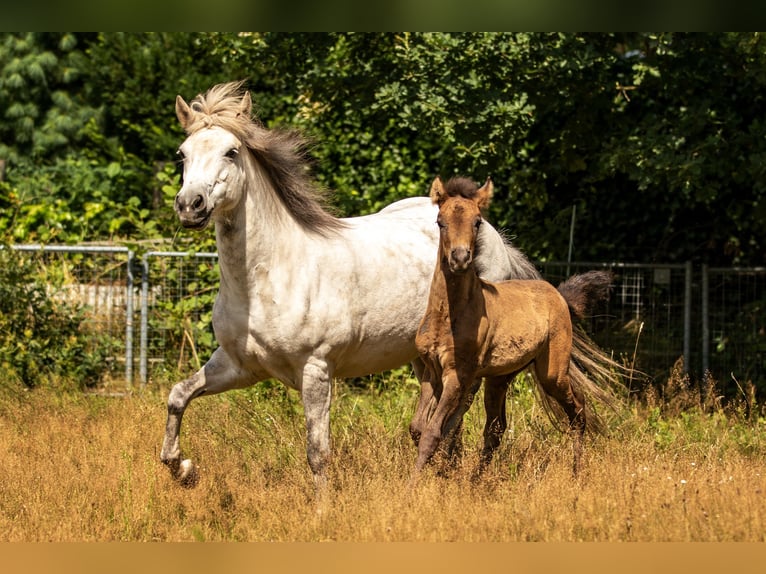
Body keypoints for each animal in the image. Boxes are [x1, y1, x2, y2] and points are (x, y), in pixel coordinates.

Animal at [160, 81, 545, 489]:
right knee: (440, 422)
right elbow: (178, 395)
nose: (190, 205)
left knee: (459, 417)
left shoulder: (316, 370)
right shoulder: (239, 365)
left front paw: (323, 505)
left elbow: (317, 452)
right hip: (423, 358)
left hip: (468, 361)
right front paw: (183, 469)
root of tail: (495, 238)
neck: (267, 279)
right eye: (182, 154)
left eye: (231, 152)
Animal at [413, 176, 615, 476]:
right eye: (440, 221)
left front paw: (414, 482)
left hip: (552, 371)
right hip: (500, 376)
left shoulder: (457, 374)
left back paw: (577, 472)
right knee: (496, 428)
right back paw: (476, 480)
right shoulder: (431, 370)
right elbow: (419, 428)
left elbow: (433, 432)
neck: (448, 316)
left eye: (477, 222)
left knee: (578, 410)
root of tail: (559, 295)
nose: (460, 258)